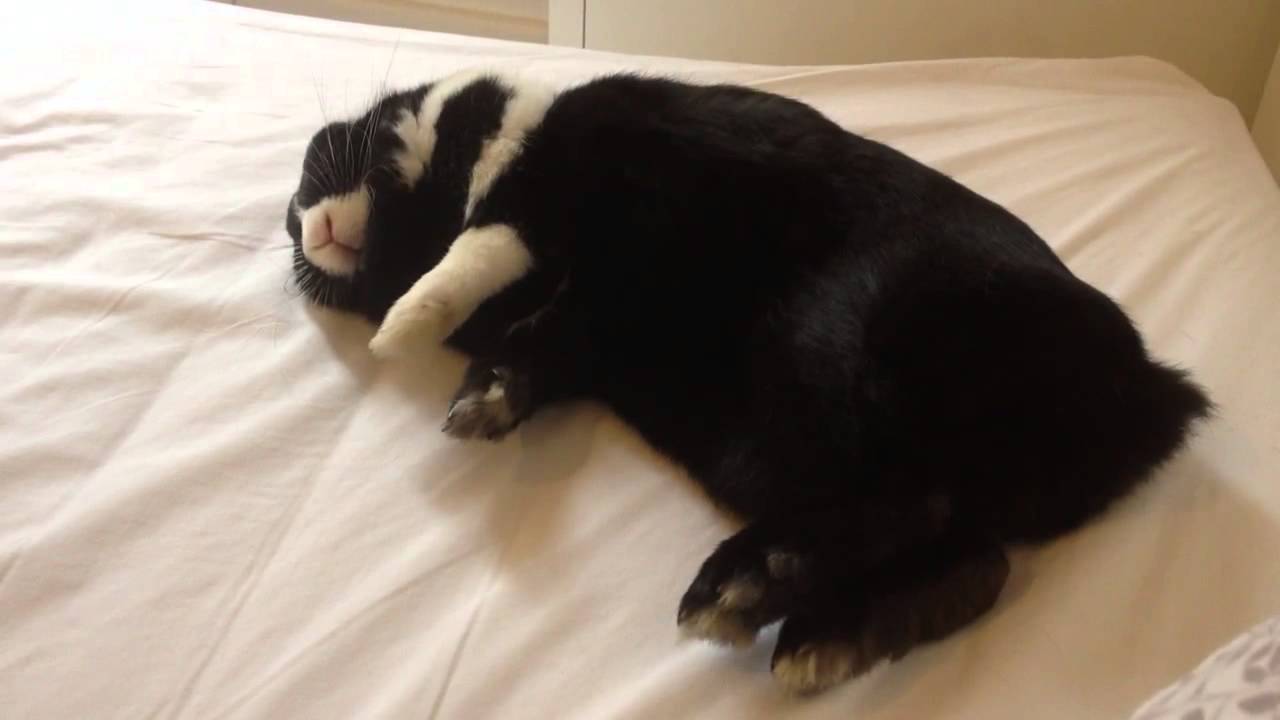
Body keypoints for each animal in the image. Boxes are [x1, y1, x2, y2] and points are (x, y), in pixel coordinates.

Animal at [285, 69, 1211, 694]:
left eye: (318, 163)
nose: (305, 227)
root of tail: (1150, 397)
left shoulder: (553, 192)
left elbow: (476, 252)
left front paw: (405, 326)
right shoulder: (585, 320)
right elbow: (533, 347)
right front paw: (484, 403)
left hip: (844, 350)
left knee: (909, 505)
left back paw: (742, 586)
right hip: (785, 447)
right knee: (970, 558)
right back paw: (822, 639)